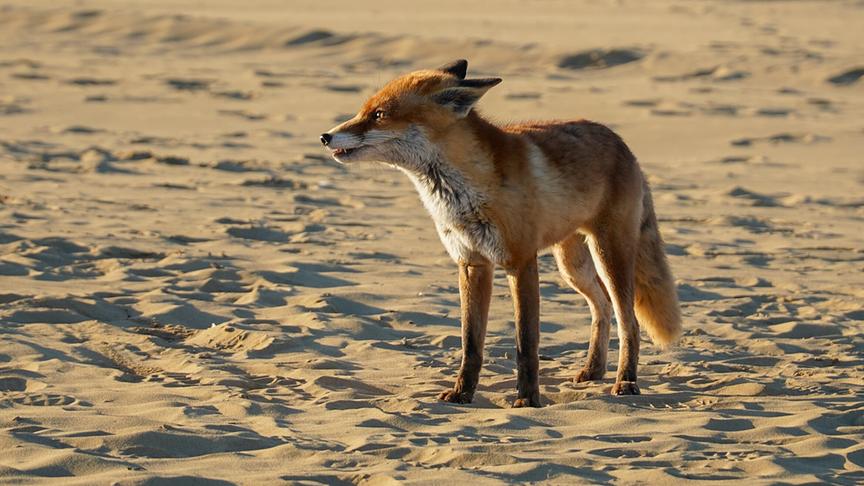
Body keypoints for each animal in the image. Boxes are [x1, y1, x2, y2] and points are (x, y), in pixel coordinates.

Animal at [320, 59, 681, 407]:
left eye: (379, 115)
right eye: (363, 110)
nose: (325, 136)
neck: (463, 192)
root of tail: (623, 144)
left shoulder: (520, 262)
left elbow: (526, 343)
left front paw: (528, 399)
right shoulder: (471, 263)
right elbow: (471, 344)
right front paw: (462, 394)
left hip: (609, 255)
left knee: (628, 320)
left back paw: (626, 382)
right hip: (573, 267)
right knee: (602, 308)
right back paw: (594, 370)